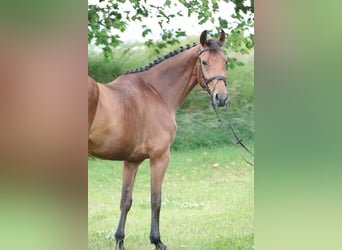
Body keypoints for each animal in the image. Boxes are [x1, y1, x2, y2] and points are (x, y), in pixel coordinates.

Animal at [87, 30, 227, 249]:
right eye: (204, 62)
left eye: (225, 61)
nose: (221, 98)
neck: (156, 91)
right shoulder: (160, 157)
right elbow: (156, 200)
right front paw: (157, 240)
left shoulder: (132, 161)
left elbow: (126, 201)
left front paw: (119, 240)